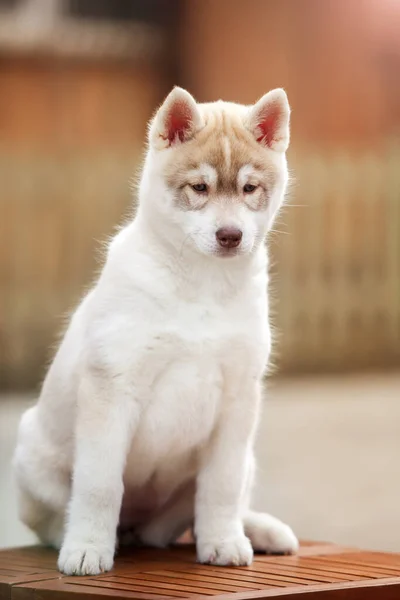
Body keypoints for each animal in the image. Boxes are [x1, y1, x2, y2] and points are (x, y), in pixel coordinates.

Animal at [13, 86, 296, 576]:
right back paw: (79, 538)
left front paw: (224, 541)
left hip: (246, 457)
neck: (202, 287)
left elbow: (221, 486)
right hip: (31, 455)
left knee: (209, 508)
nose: (230, 235)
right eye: (199, 188)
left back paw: (256, 530)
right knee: (54, 517)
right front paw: (87, 548)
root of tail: (141, 528)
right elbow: (99, 485)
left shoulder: (238, 399)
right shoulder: (112, 388)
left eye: (249, 188)